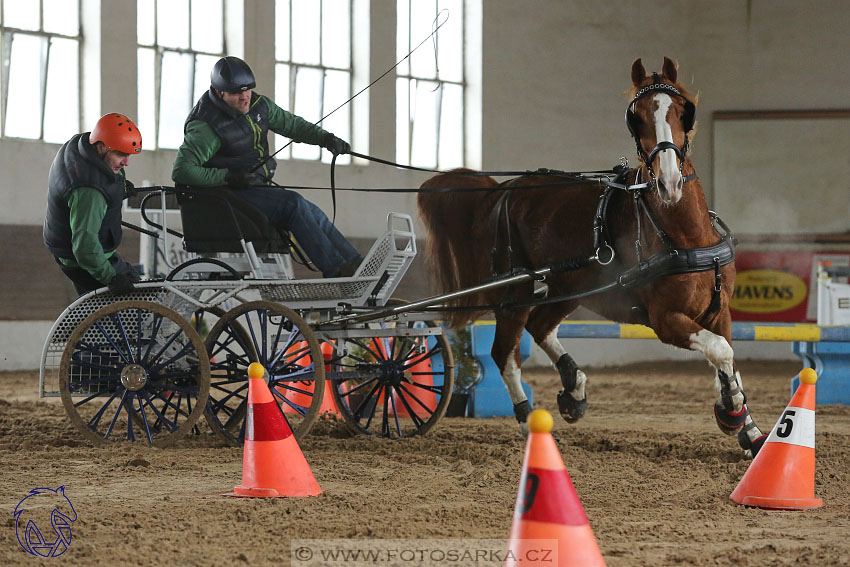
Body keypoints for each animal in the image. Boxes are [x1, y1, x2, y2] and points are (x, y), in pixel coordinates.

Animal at [414, 57, 764, 458]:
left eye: (682, 110)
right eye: (636, 117)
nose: (670, 183)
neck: (684, 236)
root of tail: (504, 189)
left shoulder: (718, 311)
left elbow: (729, 357)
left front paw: (747, 428)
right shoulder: (665, 320)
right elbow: (721, 351)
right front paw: (732, 412)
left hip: (568, 288)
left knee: (540, 327)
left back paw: (574, 388)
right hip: (515, 293)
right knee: (505, 353)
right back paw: (528, 421)